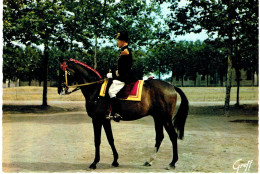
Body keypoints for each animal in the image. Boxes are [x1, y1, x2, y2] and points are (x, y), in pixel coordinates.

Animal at [58, 57, 188, 169]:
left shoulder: (97, 119)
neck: (95, 89)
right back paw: (150, 161)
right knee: (159, 137)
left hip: (165, 118)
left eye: (62, 72)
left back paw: (172, 163)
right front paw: (115, 160)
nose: (60, 90)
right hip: (158, 118)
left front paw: (94, 162)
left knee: (173, 136)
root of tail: (172, 86)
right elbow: (110, 139)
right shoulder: (105, 120)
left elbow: (97, 140)